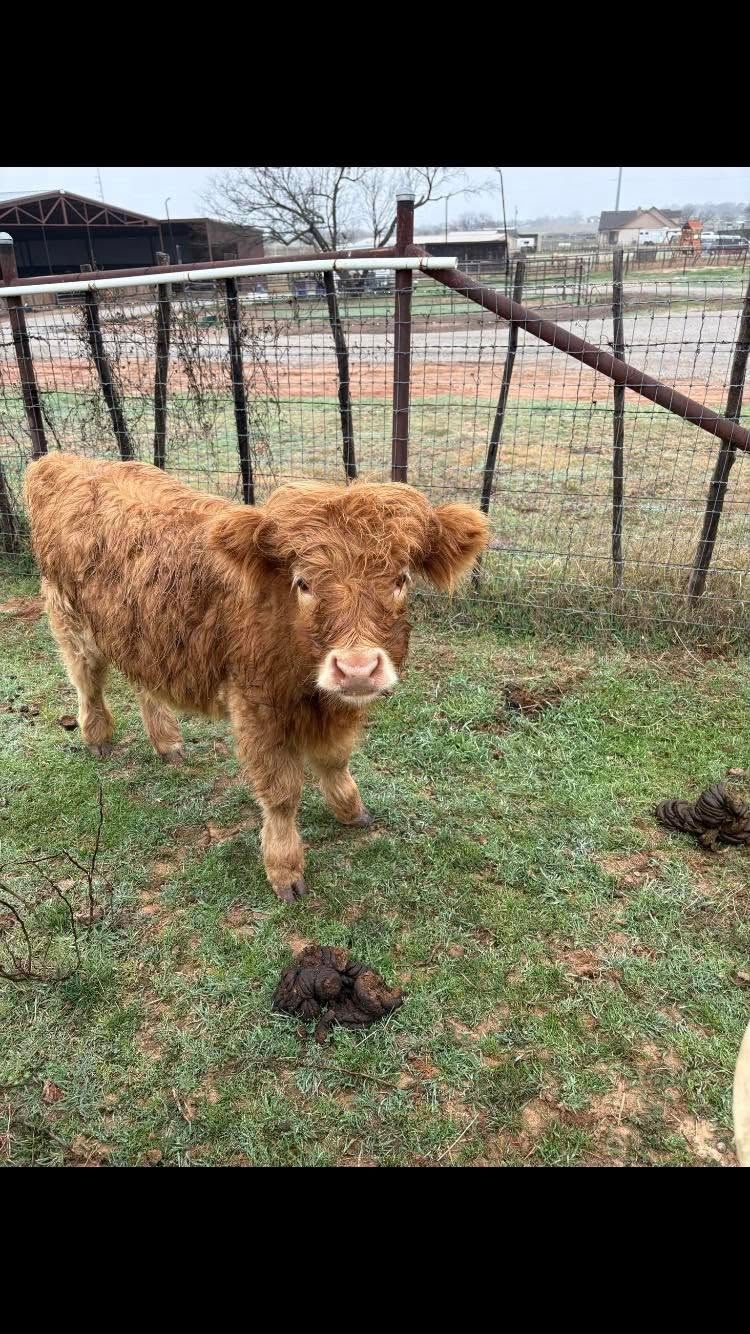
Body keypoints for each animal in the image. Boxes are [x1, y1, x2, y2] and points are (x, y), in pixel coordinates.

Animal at [24, 454, 490, 903]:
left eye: (400, 579)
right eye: (303, 583)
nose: (356, 668)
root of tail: (62, 463)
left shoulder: (336, 707)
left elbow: (336, 759)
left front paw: (350, 809)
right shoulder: (256, 706)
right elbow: (281, 793)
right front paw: (285, 870)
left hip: (143, 633)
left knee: (144, 685)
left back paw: (168, 742)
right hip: (70, 619)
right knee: (88, 682)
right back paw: (98, 737)